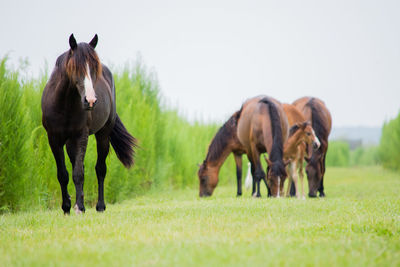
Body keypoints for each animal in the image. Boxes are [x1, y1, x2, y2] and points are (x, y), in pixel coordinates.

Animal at [41, 33, 137, 215]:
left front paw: (79, 207)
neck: (64, 104)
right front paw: (66, 207)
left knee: (100, 169)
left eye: (94, 68)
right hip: (70, 142)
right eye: (75, 68)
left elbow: (78, 173)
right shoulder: (53, 139)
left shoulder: (81, 136)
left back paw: (100, 206)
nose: (90, 101)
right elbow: (63, 174)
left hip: (103, 135)